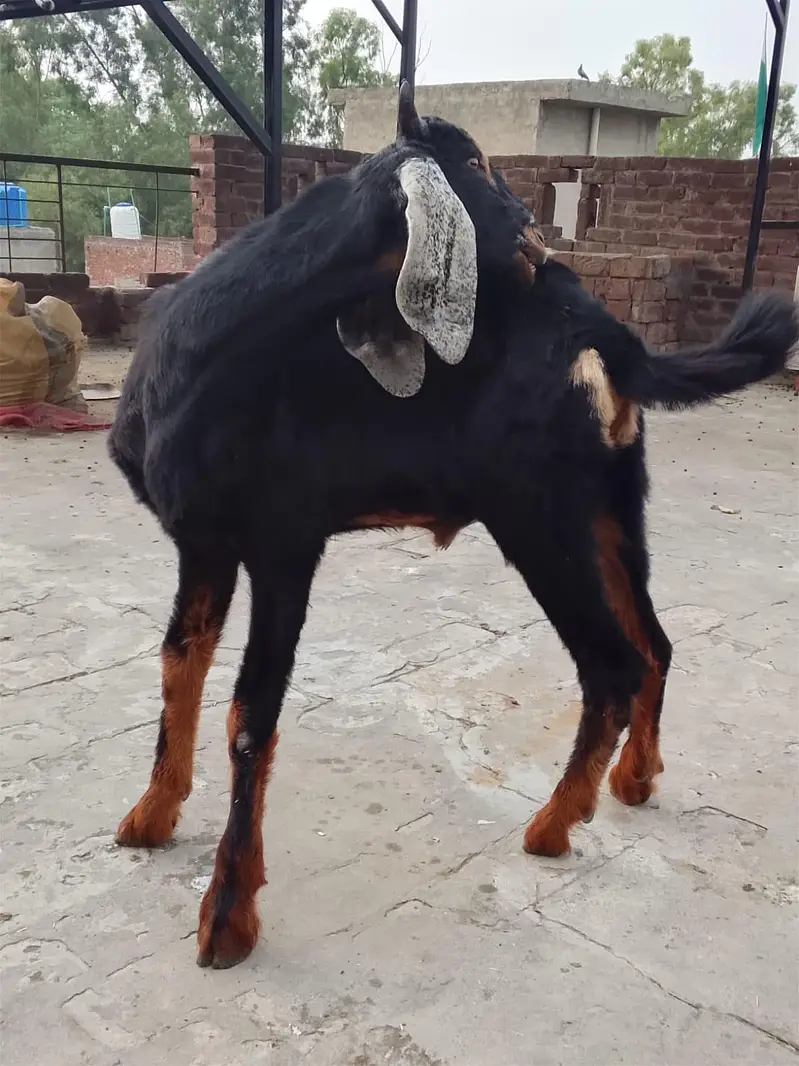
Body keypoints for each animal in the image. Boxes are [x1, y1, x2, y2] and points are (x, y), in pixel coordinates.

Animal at [109, 84, 799, 968]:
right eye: (473, 163)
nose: (538, 235)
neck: (206, 355)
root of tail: (605, 336)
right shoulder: (202, 542)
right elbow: (178, 665)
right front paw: (149, 816)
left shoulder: (285, 544)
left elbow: (249, 716)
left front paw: (226, 916)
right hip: (609, 506)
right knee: (653, 644)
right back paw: (634, 781)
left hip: (539, 516)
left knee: (610, 665)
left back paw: (550, 828)